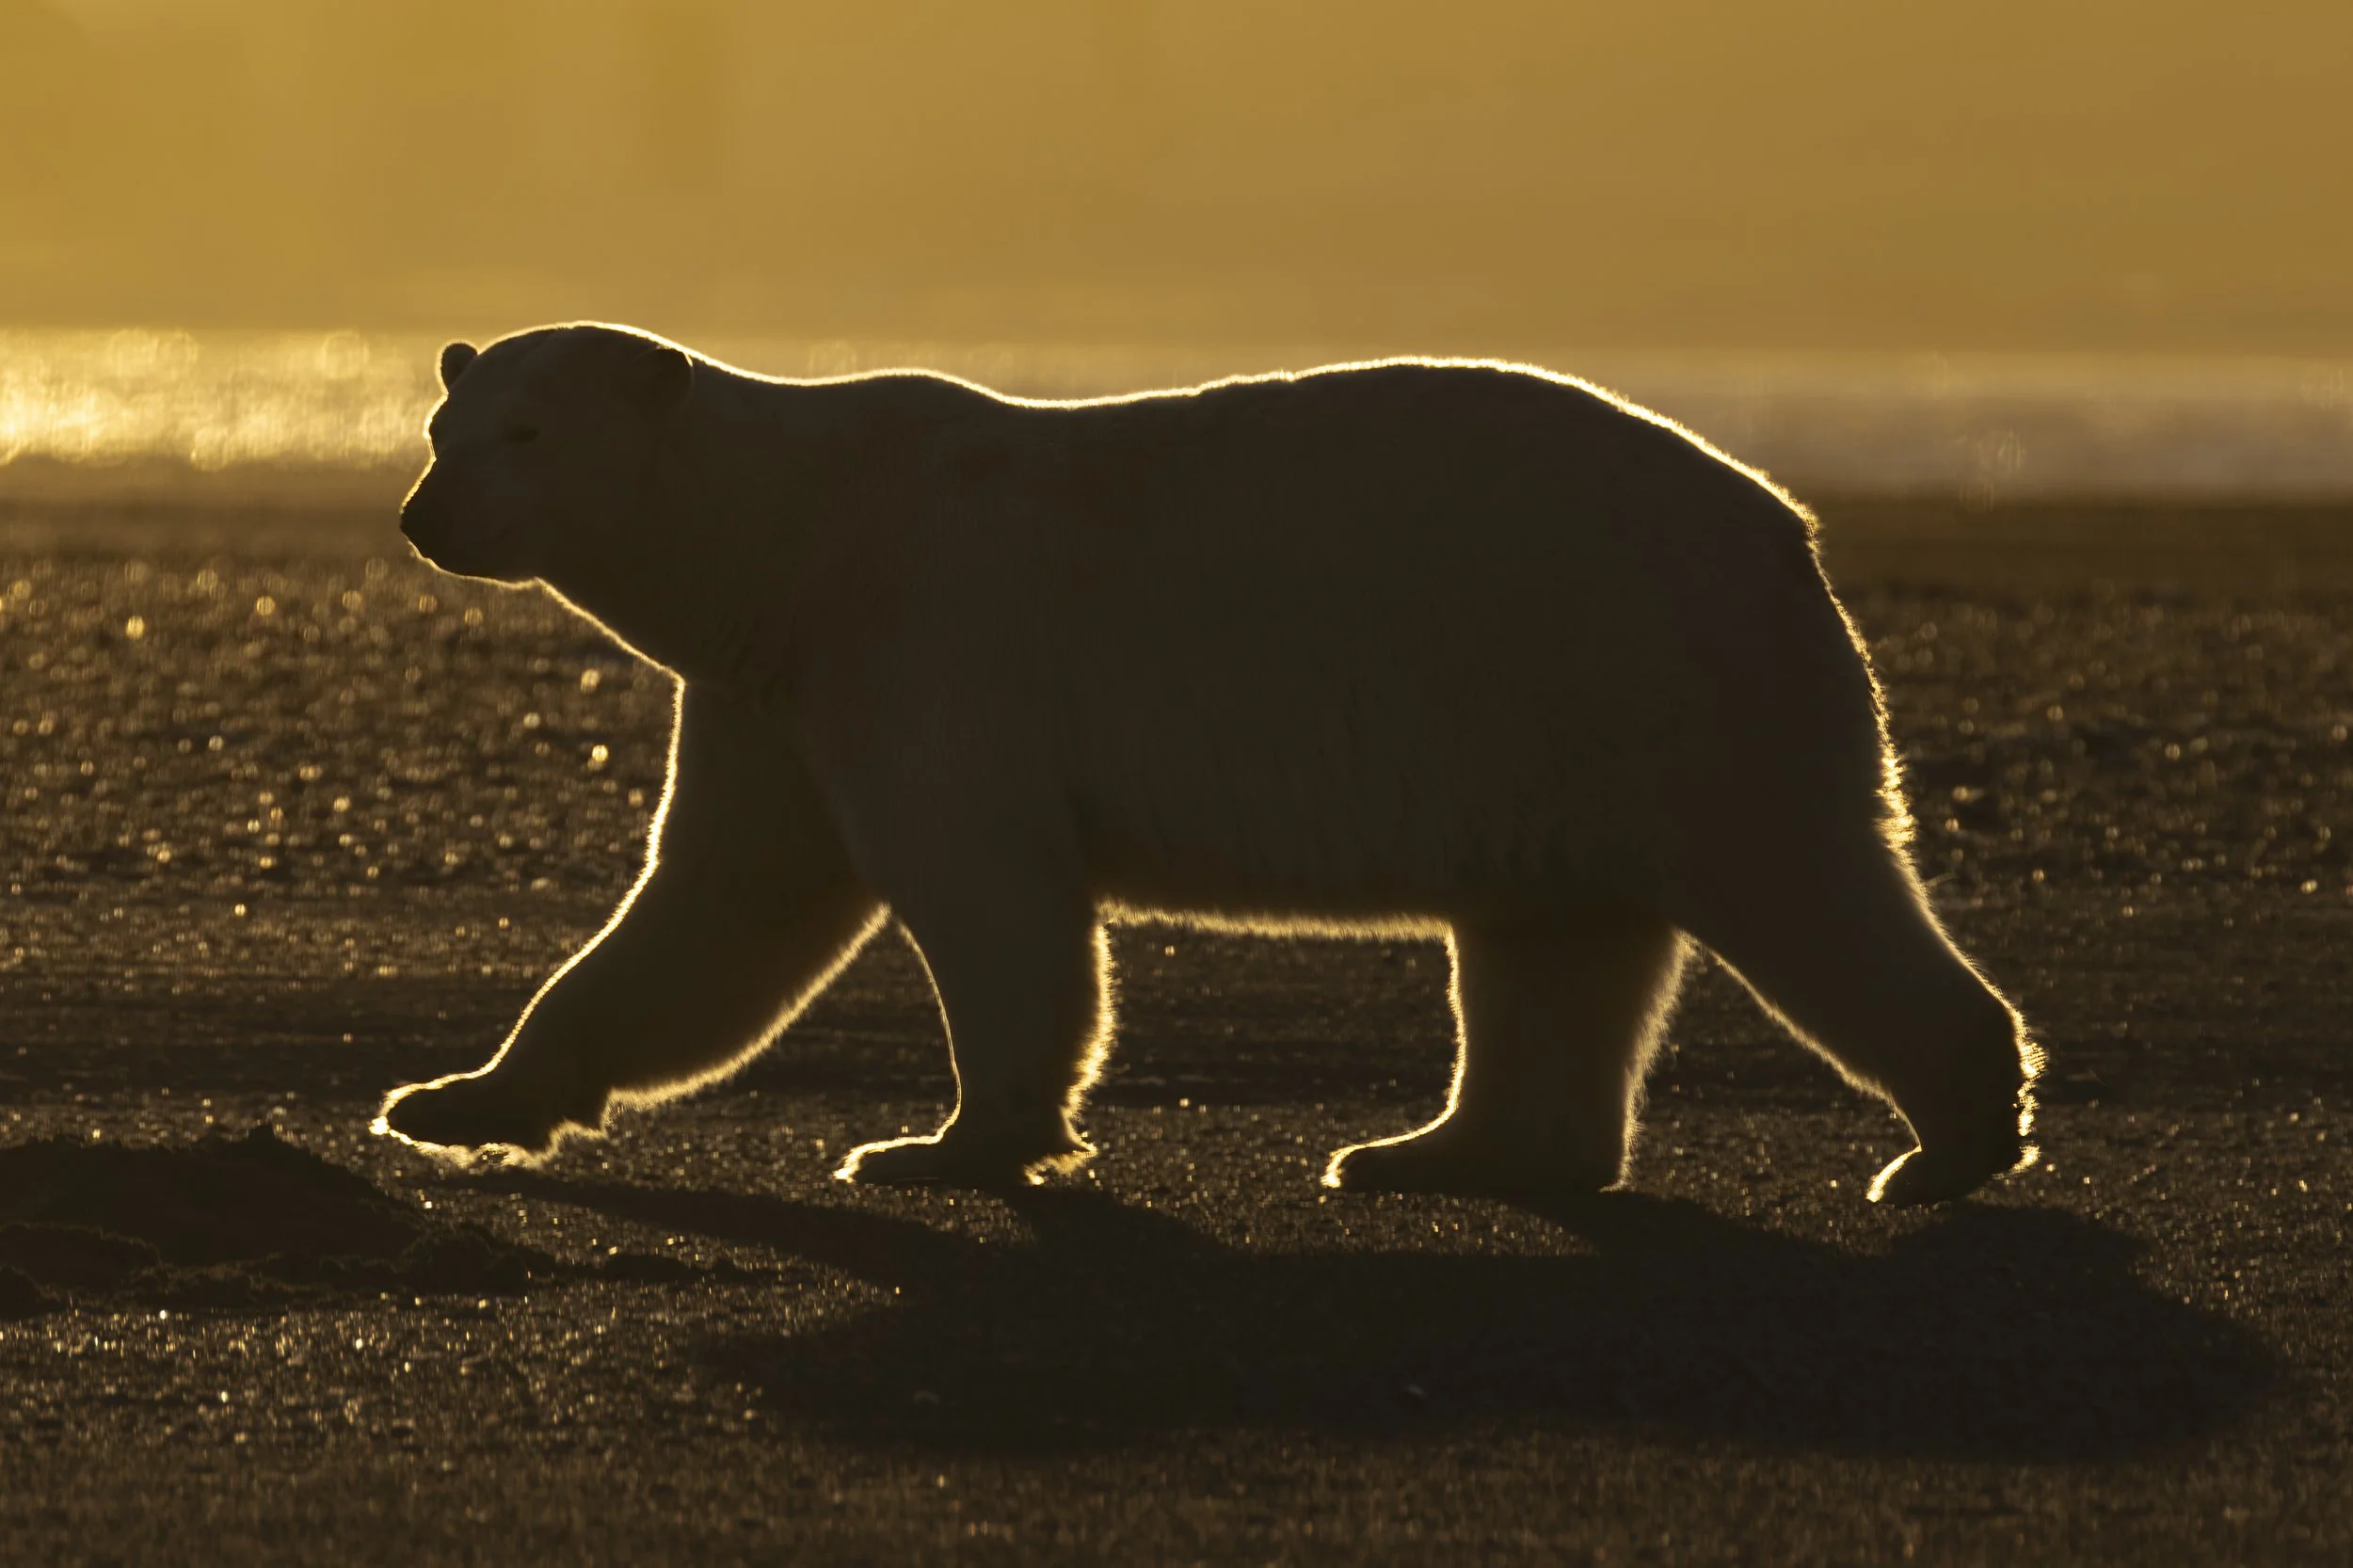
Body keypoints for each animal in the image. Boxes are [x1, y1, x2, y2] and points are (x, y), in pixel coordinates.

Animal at [376, 323, 2041, 1206]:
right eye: (446, 424)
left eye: (525, 433)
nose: (426, 516)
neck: (791, 536)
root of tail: (1787, 526)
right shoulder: (773, 691)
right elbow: (717, 907)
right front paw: (451, 1098)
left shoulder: (920, 647)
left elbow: (983, 896)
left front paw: (939, 1144)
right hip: (1555, 724)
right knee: (1550, 942)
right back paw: (1435, 1150)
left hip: (1645, 675)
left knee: (1795, 883)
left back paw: (1946, 1144)